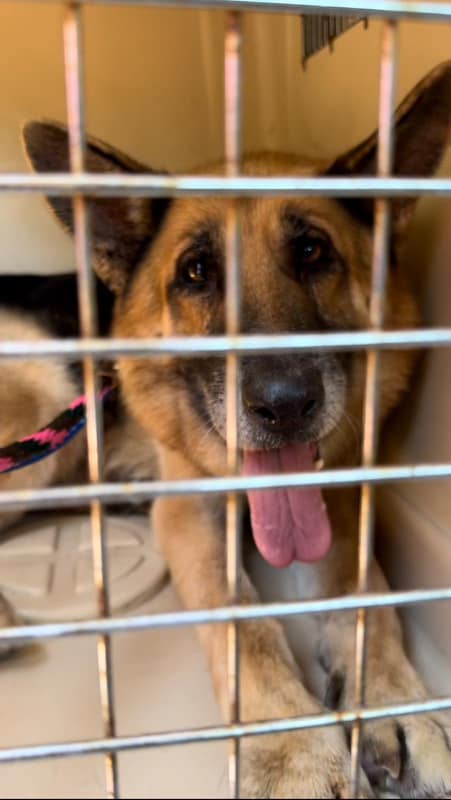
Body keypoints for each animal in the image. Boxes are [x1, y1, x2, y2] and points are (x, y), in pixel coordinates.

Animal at [0, 59, 450, 796]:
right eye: (196, 272)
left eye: (311, 251)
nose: (285, 404)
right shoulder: (191, 516)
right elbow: (242, 627)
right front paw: (294, 753)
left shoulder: (339, 498)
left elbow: (370, 597)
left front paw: (396, 704)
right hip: (45, 395)